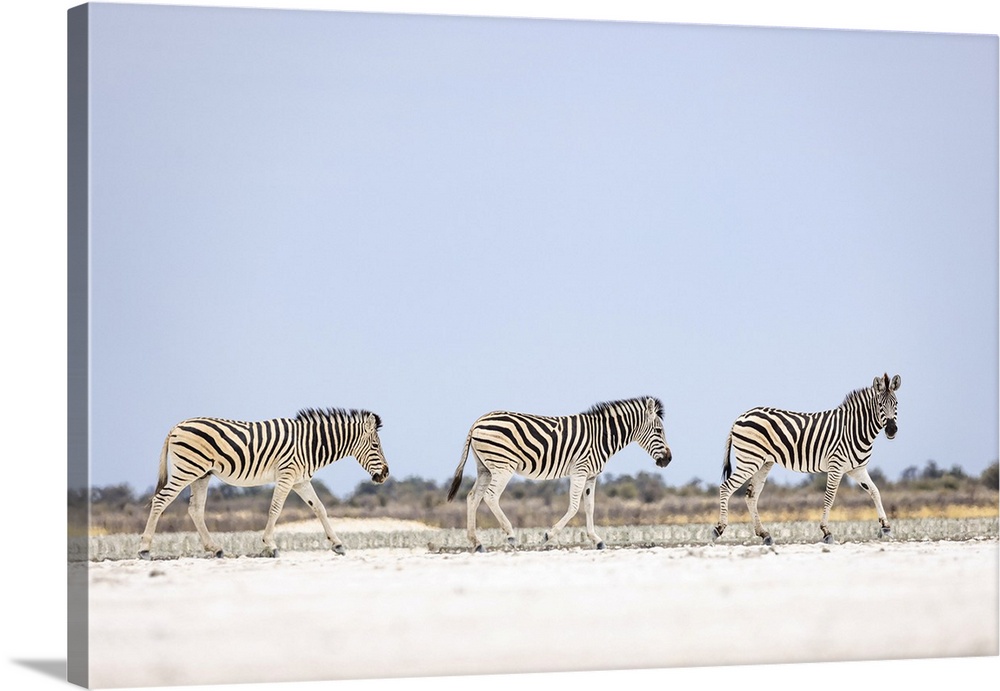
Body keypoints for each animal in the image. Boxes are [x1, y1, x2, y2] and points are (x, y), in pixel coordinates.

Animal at [139, 408, 388, 560]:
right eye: (376, 446)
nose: (385, 474)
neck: (309, 444)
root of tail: (176, 426)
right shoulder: (287, 475)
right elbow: (275, 509)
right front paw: (270, 545)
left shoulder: (300, 481)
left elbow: (320, 509)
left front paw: (337, 544)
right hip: (187, 470)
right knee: (161, 500)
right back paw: (144, 549)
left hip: (201, 475)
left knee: (195, 510)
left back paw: (215, 548)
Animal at [446, 398, 672, 556]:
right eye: (659, 431)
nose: (668, 460)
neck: (602, 436)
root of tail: (478, 421)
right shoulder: (580, 470)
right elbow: (574, 506)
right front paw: (548, 535)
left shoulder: (591, 476)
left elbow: (590, 506)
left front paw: (596, 540)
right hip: (503, 466)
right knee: (490, 497)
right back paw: (510, 536)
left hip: (485, 468)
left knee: (473, 497)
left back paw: (477, 543)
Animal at [712, 374, 900, 548]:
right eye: (880, 405)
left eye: (896, 404)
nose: (891, 430)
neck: (854, 428)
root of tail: (741, 416)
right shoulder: (836, 466)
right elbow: (829, 497)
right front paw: (826, 531)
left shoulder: (857, 469)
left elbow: (875, 491)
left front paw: (885, 526)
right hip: (749, 460)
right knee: (726, 487)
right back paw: (719, 529)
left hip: (763, 463)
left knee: (751, 496)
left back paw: (764, 534)